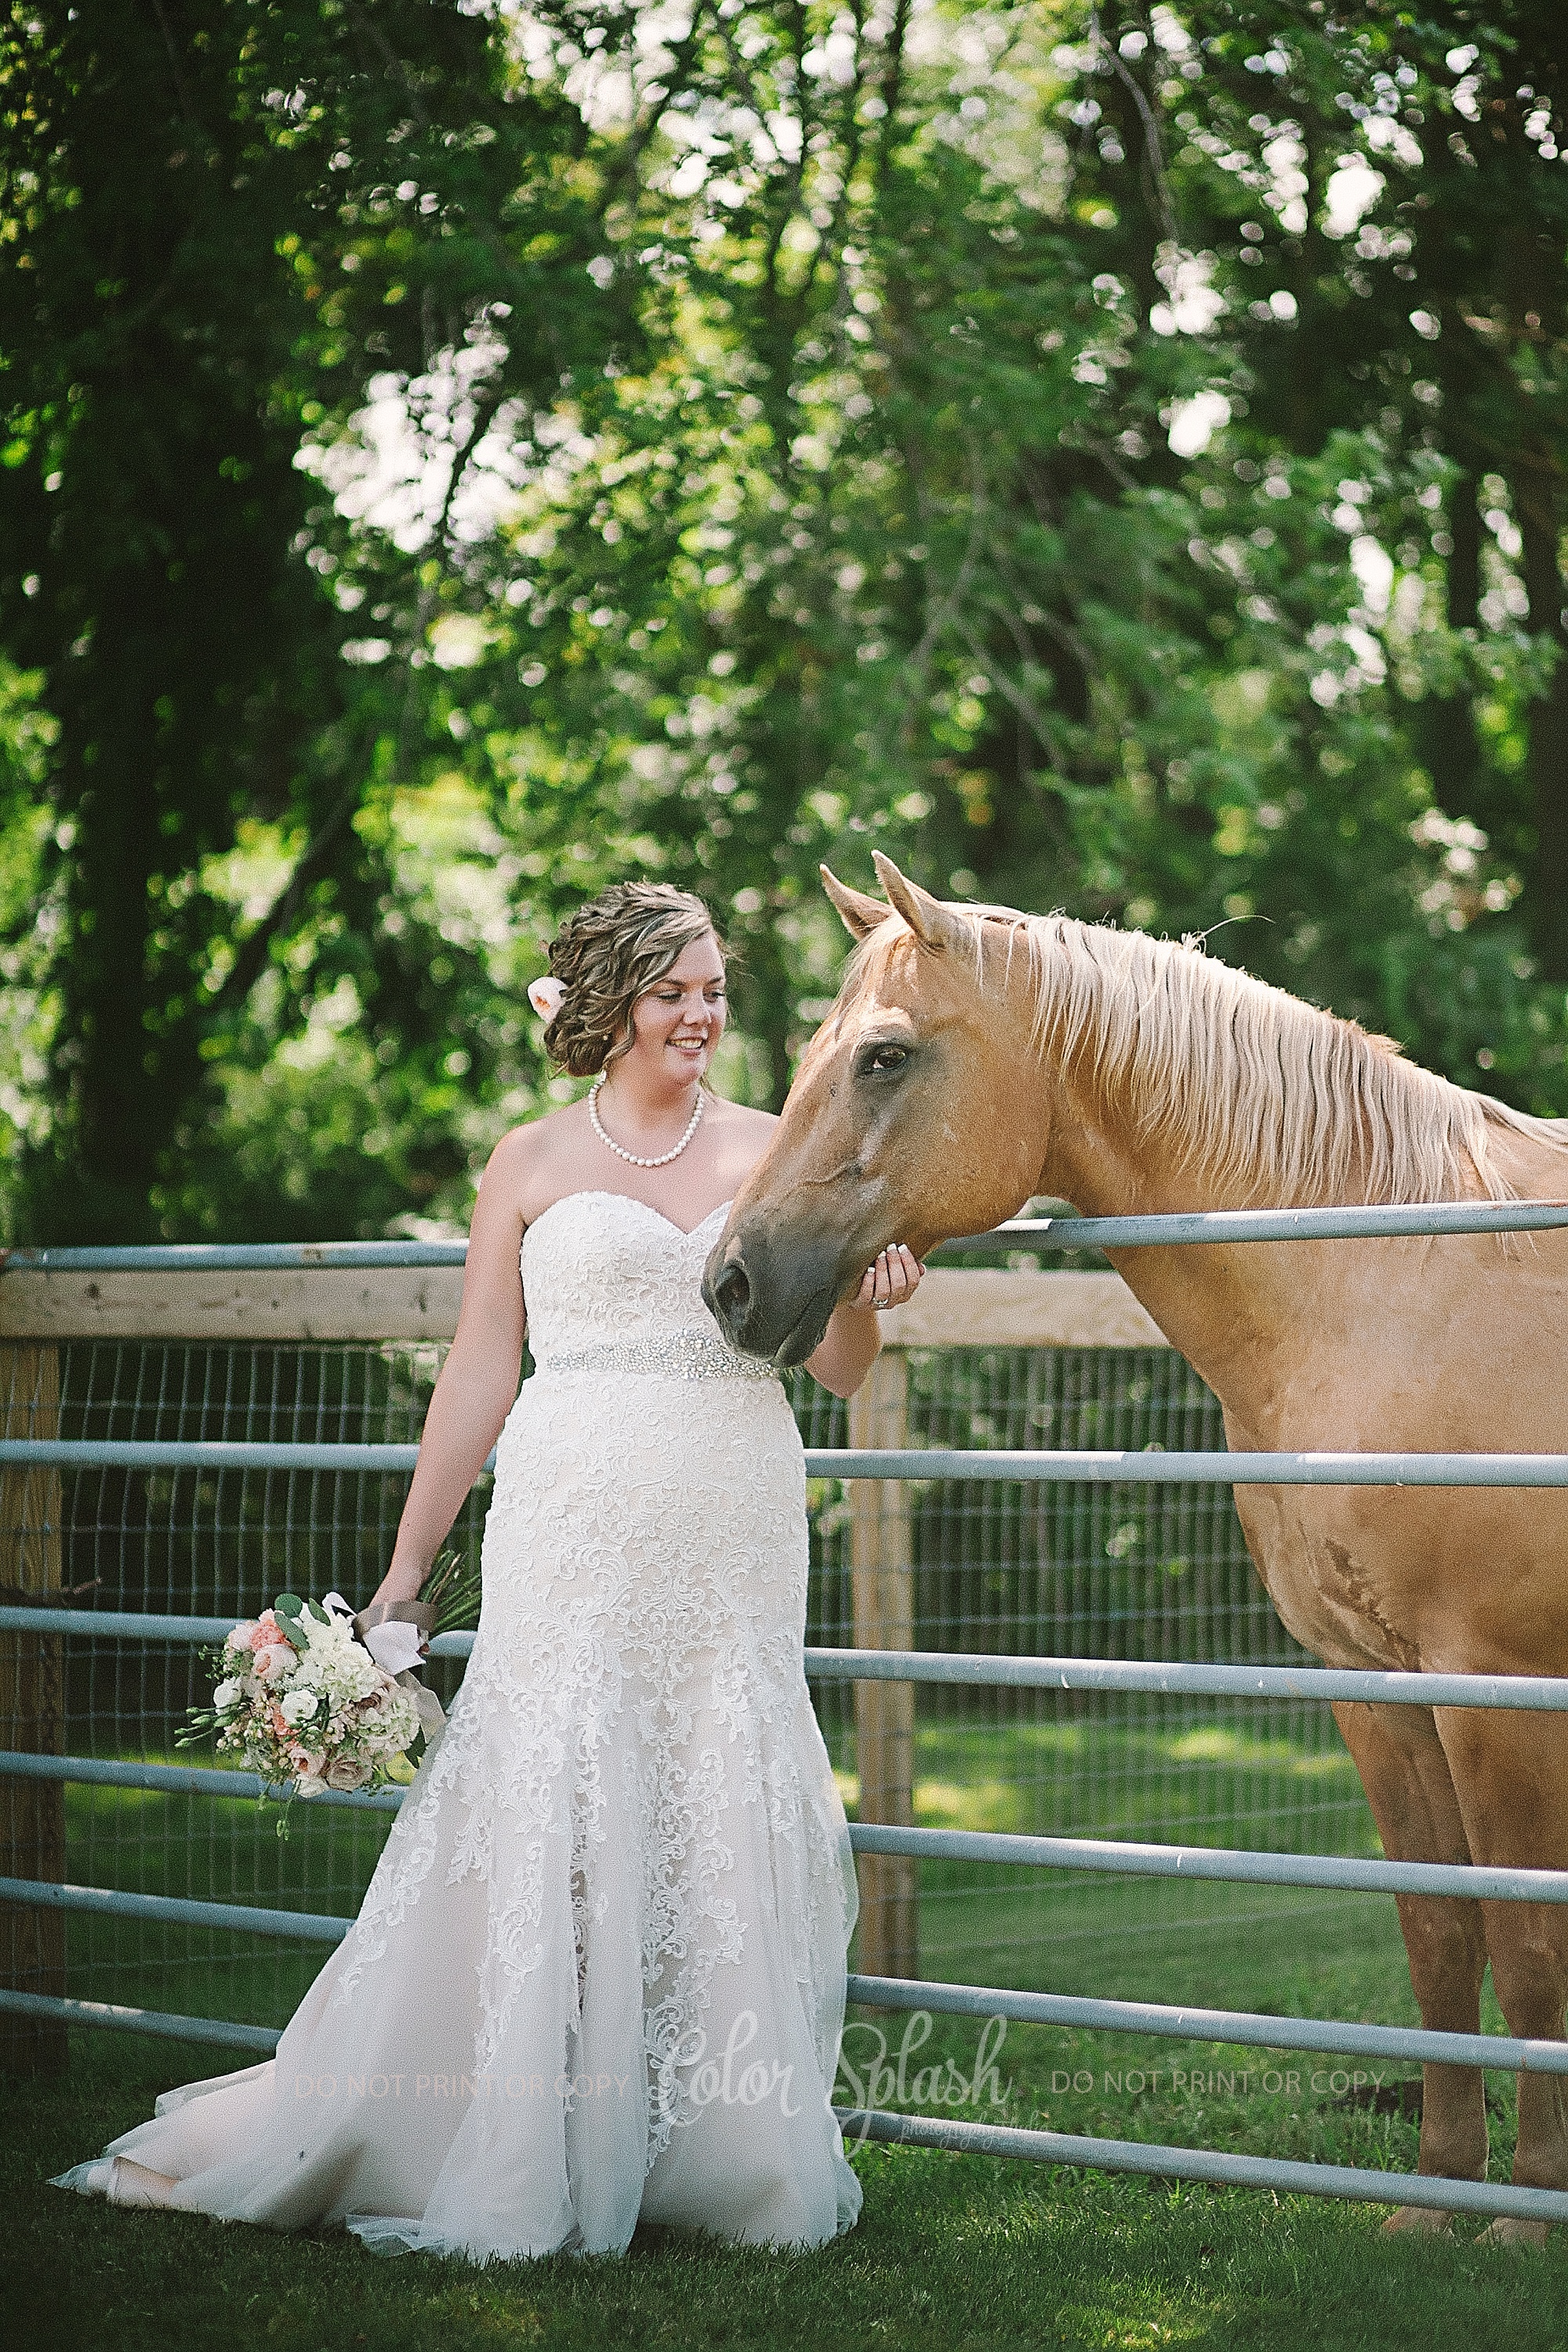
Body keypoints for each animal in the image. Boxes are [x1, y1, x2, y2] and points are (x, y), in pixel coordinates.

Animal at [705, 856, 1568, 2230]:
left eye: (885, 1057)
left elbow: (1529, 1947)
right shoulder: (1375, 1689)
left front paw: (1526, 2213)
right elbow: (1441, 1937)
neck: (1391, 1282)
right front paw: (1437, 2203)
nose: (731, 1284)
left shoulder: (1496, 1690)